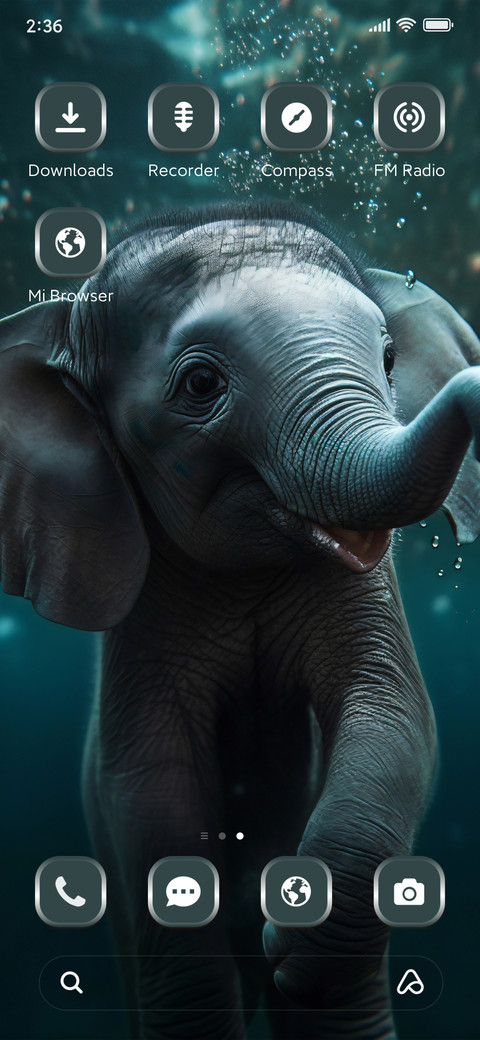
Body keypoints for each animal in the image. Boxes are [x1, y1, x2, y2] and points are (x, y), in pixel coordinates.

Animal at [1, 201, 480, 1040]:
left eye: (389, 359)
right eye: (201, 384)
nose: (476, 385)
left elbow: (393, 715)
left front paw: (299, 937)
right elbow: (149, 784)